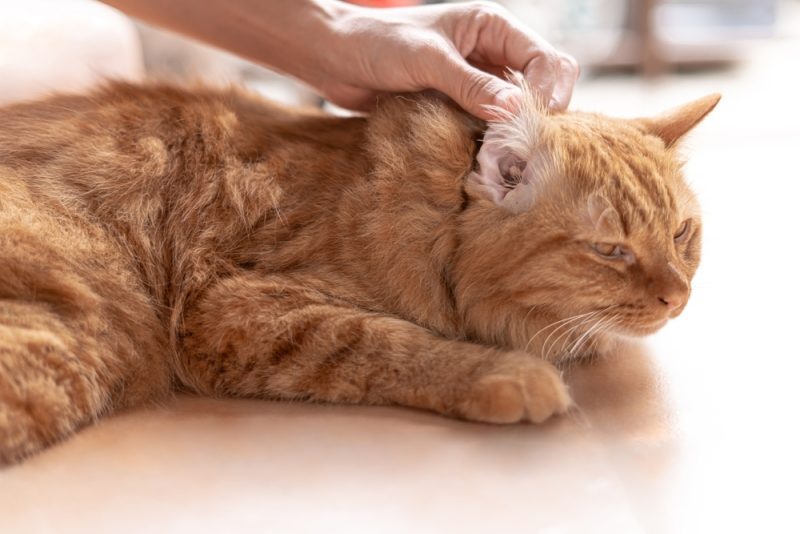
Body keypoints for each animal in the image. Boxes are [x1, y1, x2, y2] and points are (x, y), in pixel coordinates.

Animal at [0, 78, 720, 464]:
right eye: (611, 251)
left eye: (681, 235)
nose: (678, 297)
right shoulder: (232, 310)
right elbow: (388, 342)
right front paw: (508, 375)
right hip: (89, 333)